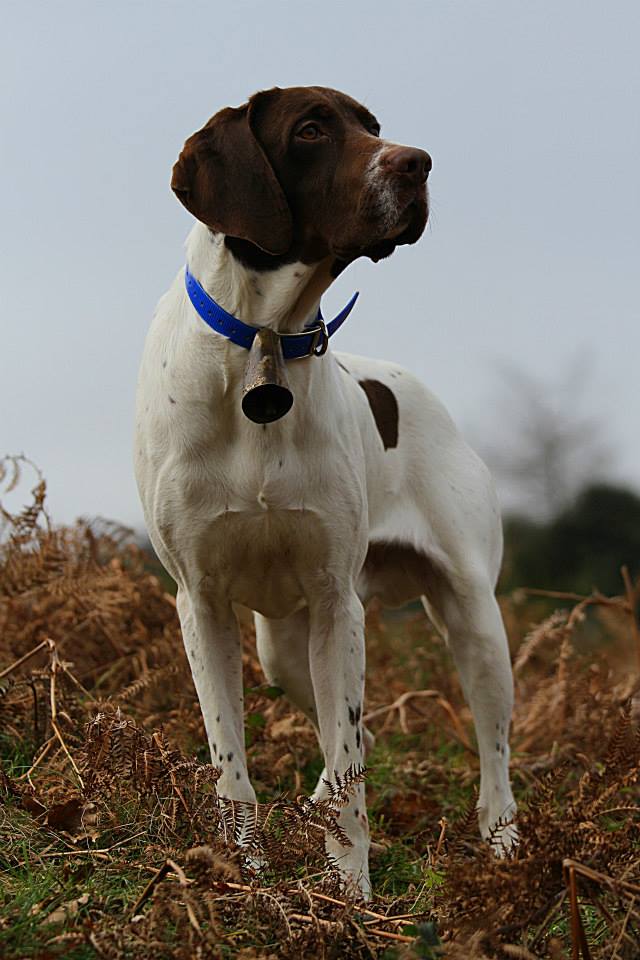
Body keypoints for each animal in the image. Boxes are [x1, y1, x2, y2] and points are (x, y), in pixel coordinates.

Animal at [134, 86, 516, 896]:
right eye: (311, 130)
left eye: (372, 127)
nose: (418, 162)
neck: (263, 346)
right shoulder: (201, 603)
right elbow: (233, 765)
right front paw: (245, 871)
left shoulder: (339, 602)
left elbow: (349, 770)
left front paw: (351, 892)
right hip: (283, 644)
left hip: (472, 618)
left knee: (489, 750)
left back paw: (503, 842)